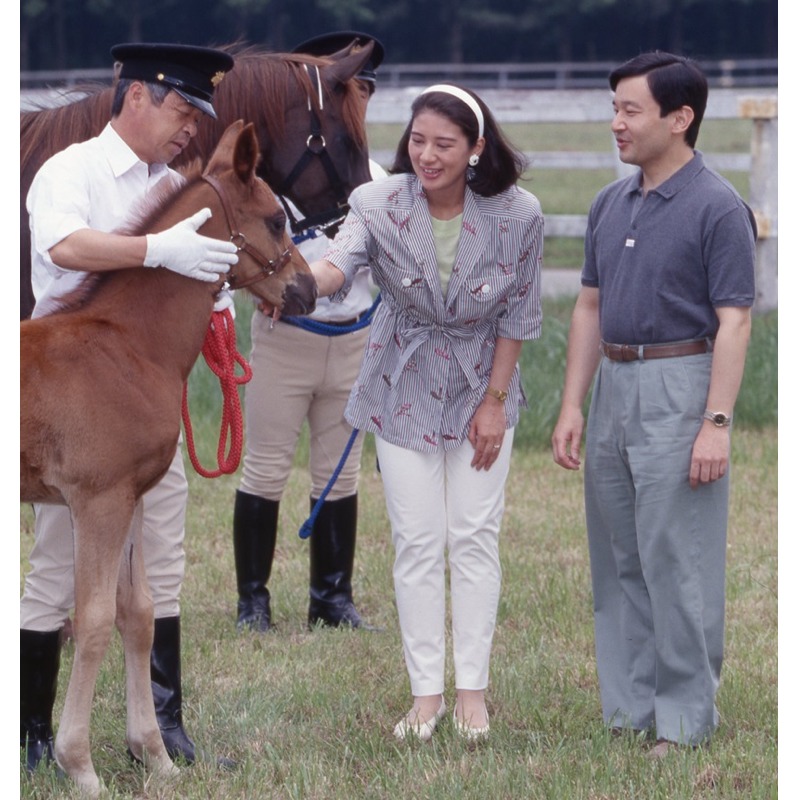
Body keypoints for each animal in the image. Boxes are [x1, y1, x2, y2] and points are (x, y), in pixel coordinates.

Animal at [18, 122, 316, 796]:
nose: (309, 290)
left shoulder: (132, 496)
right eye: (275, 220)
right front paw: (81, 767)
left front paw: (154, 754)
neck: (127, 347)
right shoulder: (98, 501)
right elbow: (93, 621)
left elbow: (140, 615)